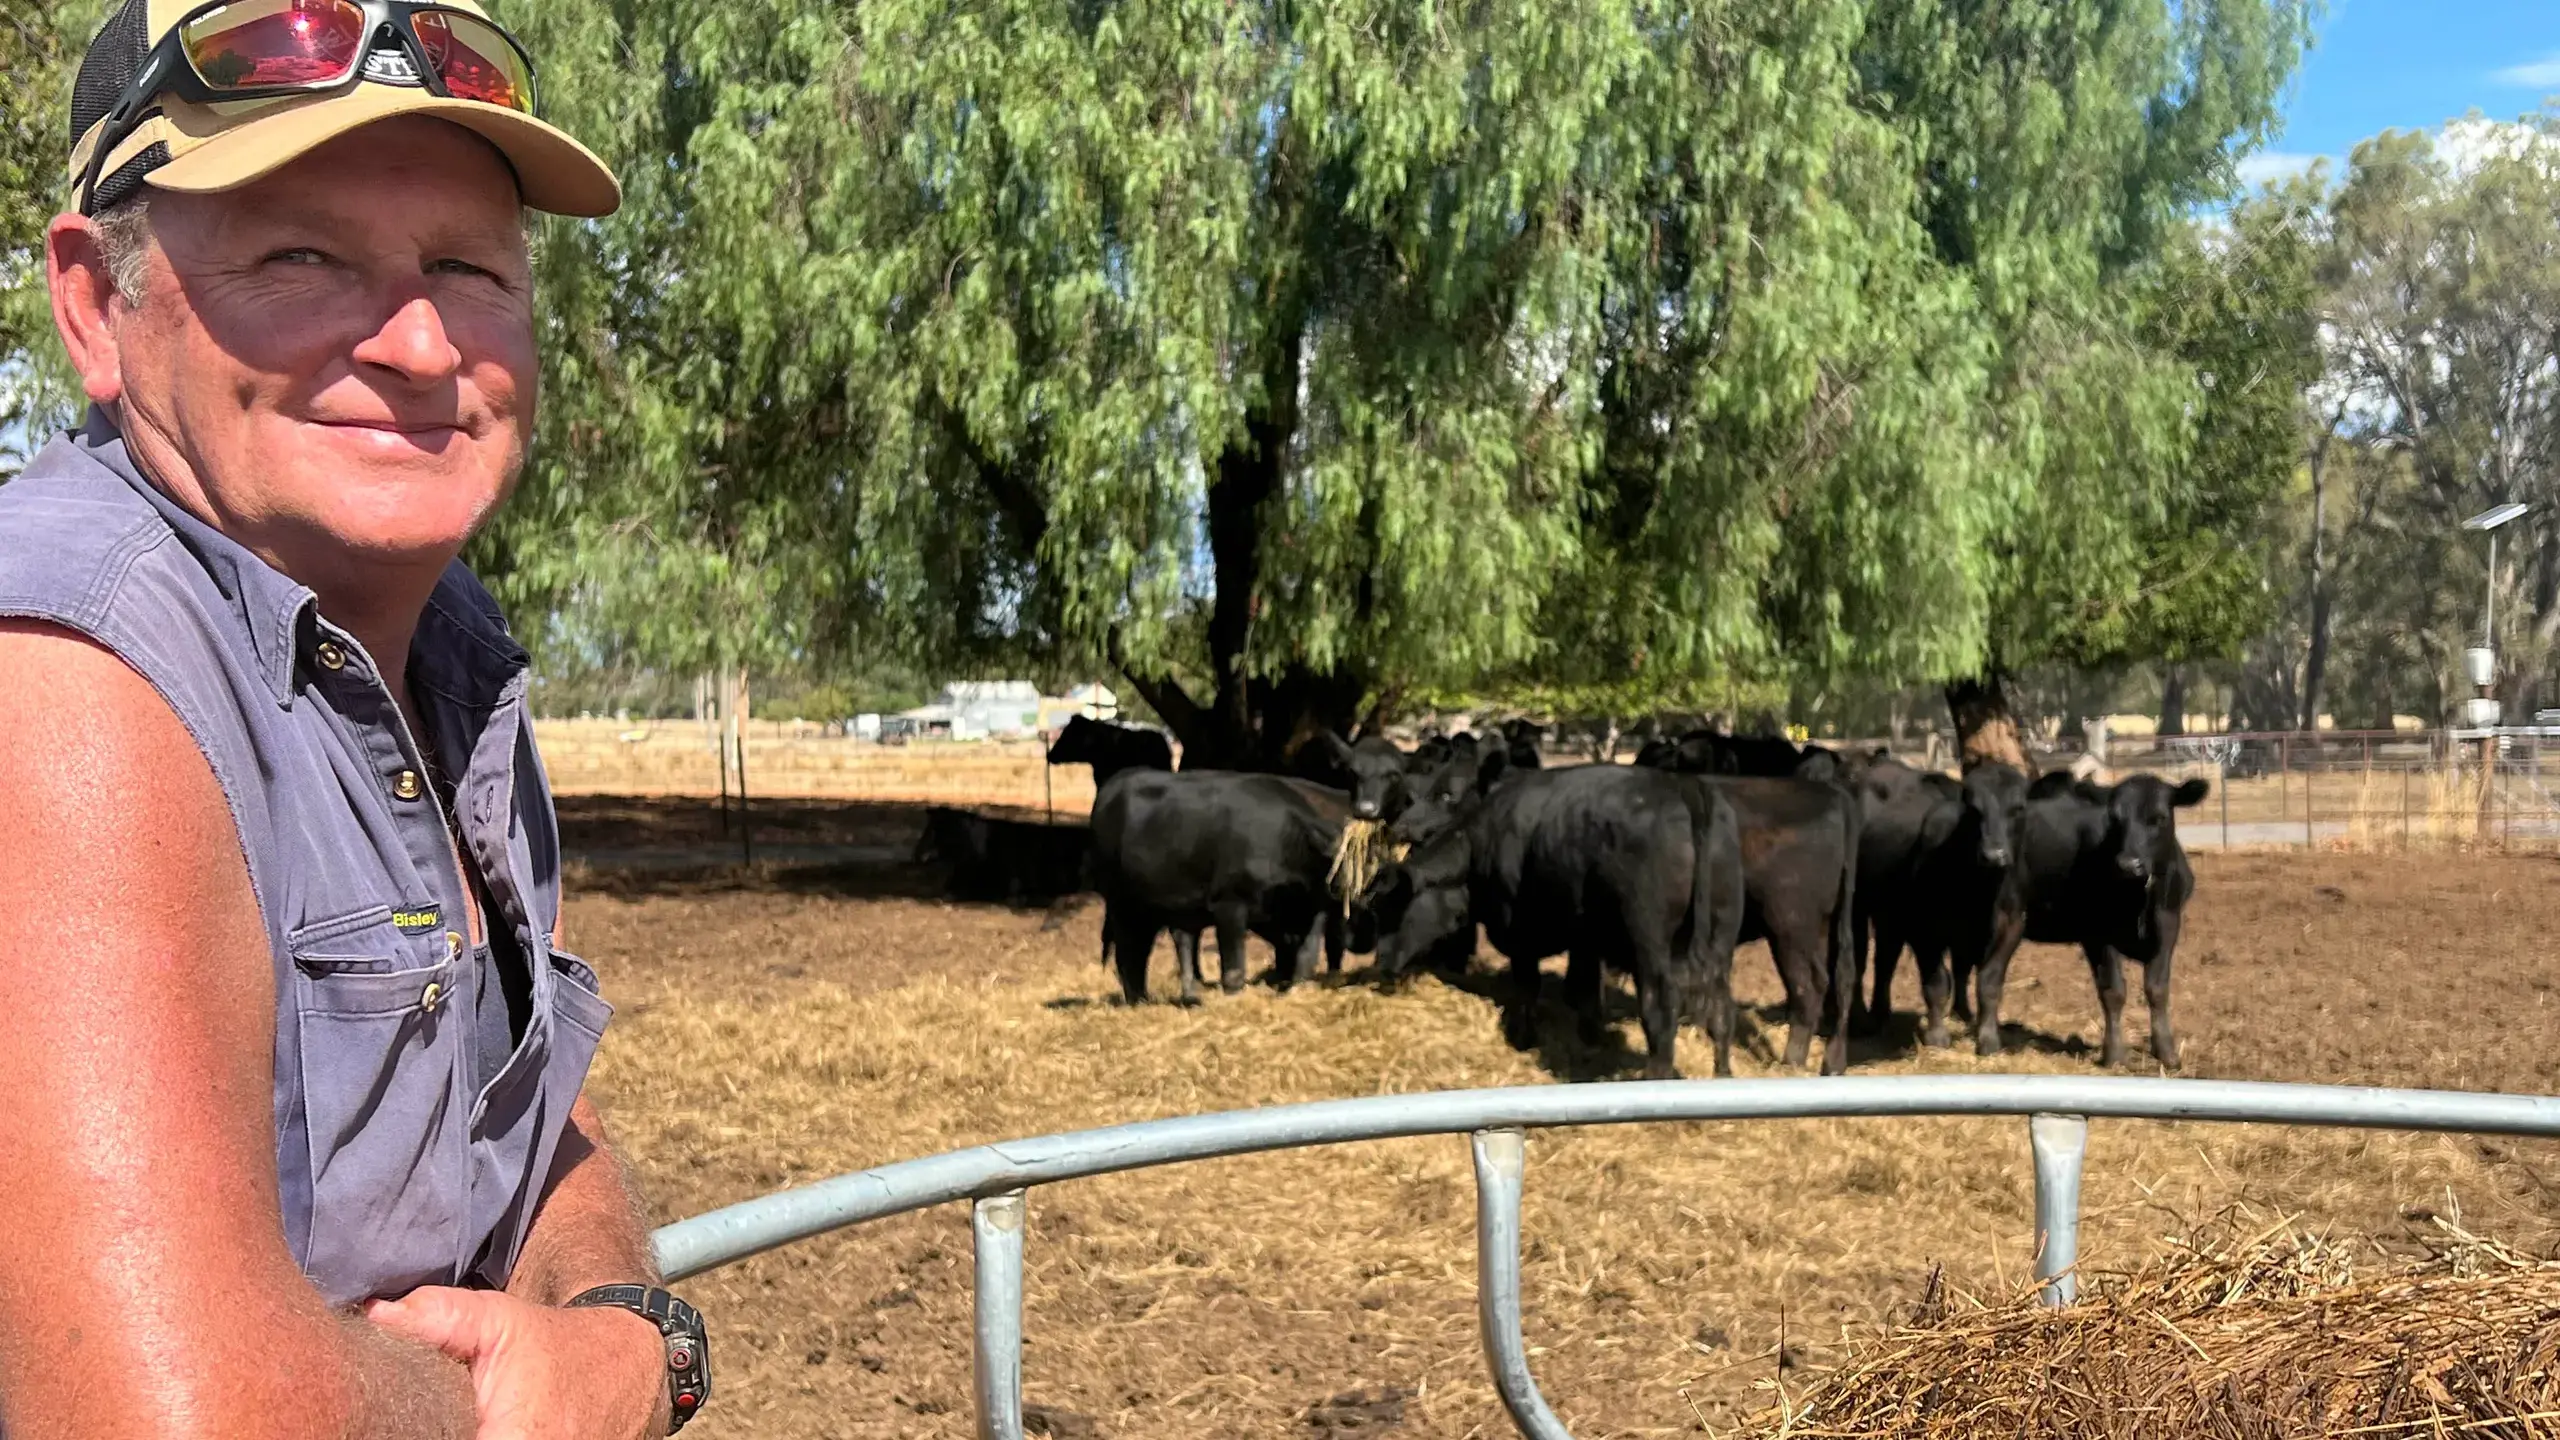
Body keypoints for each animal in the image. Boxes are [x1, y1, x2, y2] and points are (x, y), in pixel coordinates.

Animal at [1086, 771, 1347, 1004]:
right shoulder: (1229, 905)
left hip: (1154, 910)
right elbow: (1234, 968)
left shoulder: (1313, 912)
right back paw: (1137, 1000)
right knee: (1128, 952)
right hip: (1122, 904)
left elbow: (1306, 957)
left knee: (1150, 947)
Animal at [1370, 766, 1746, 1078]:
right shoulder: (1586, 941)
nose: (1380, 966)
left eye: (1388, 907)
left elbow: (1527, 986)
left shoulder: (1520, 933)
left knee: (1661, 1008)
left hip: (1650, 943)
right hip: (1721, 936)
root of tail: (1683, 785)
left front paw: (1523, 1038)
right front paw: (1591, 1040)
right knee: (1721, 1007)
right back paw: (1722, 1074)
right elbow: (1585, 992)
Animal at [1853, 762, 2030, 1047]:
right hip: (1857, 907)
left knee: (1886, 961)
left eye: (2018, 807)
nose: (1994, 855)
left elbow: (1988, 982)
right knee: (1858, 961)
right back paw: (1860, 1018)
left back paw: (1884, 1014)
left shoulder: (2012, 926)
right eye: (1974, 810)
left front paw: (1987, 1036)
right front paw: (1937, 1035)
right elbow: (1936, 982)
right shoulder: (1923, 930)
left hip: (1890, 916)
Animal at [1951, 772, 2210, 1067]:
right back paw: (1986, 1039)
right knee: (1986, 975)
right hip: (2004, 917)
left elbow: (2157, 989)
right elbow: (2113, 991)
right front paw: (2114, 1054)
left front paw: (2166, 1052)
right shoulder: (2097, 934)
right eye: (2114, 819)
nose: (2128, 864)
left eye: (2159, 818)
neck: (2138, 897)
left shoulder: (2167, 927)